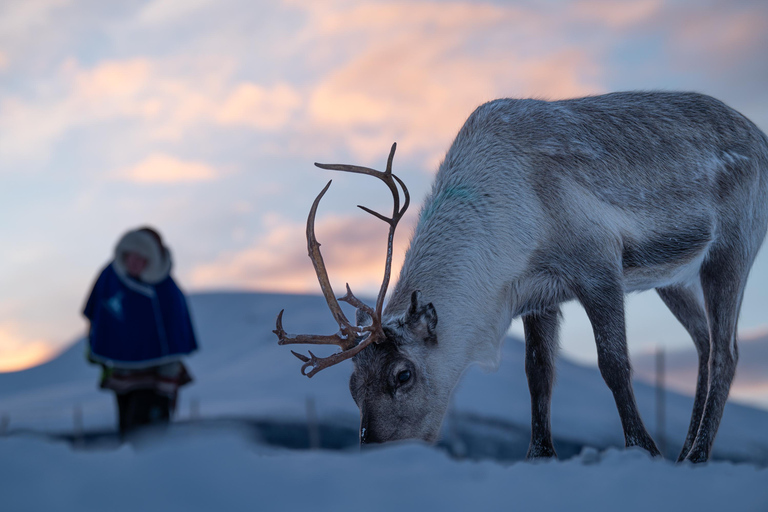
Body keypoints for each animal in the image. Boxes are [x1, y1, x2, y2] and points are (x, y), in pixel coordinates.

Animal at [274, 91, 768, 463]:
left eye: (402, 375)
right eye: (352, 385)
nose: (378, 453)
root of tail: (760, 135)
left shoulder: (599, 266)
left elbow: (613, 364)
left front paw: (643, 449)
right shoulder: (539, 295)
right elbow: (538, 373)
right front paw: (539, 455)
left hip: (731, 248)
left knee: (726, 351)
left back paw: (698, 454)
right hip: (674, 278)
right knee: (703, 342)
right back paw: (686, 451)